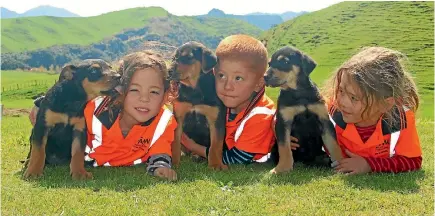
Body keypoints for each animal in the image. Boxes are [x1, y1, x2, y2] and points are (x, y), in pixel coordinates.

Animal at [169, 41, 228, 170]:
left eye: (188, 57)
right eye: (174, 58)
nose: (168, 71)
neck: (194, 90)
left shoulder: (216, 120)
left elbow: (215, 145)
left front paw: (215, 165)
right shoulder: (179, 117)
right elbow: (175, 143)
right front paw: (174, 163)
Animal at [266, 46, 344, 174]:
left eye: (285, 62)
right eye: (269, 64)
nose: (265, 77)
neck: (299, 92)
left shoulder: (324, 120)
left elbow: (333, 144)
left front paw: (341, 163)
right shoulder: (283, 122)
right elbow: (284, 147)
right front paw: (282, 168)